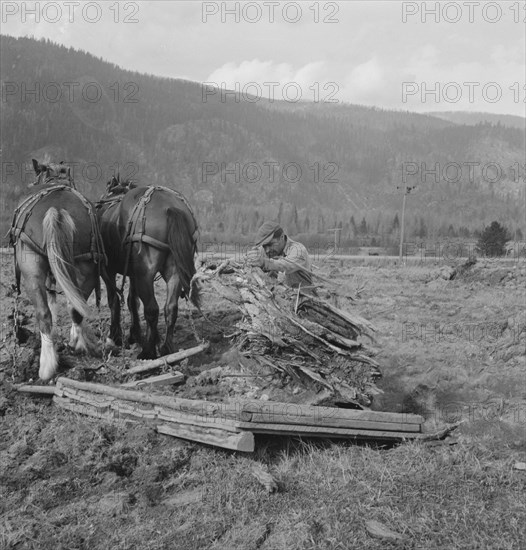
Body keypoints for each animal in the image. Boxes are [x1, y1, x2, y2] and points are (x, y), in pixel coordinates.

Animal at [9, 162, 106, 382]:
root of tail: (56, 209)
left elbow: (51, 304)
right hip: (86, 264)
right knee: (75, 306)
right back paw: (77, 343)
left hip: (30, 265)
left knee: (43, 313)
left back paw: (46, 366)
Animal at [96, 175, 201, 360]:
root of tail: (169, 207)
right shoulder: (133, 273)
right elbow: (132, 301)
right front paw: (134, 334)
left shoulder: (108, 270)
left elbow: (114, 301)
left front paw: (116, 336)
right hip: (173, 272)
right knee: (170, 308)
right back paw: (166, 347)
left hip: (145, 274)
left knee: (152, 309)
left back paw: (148, 351)